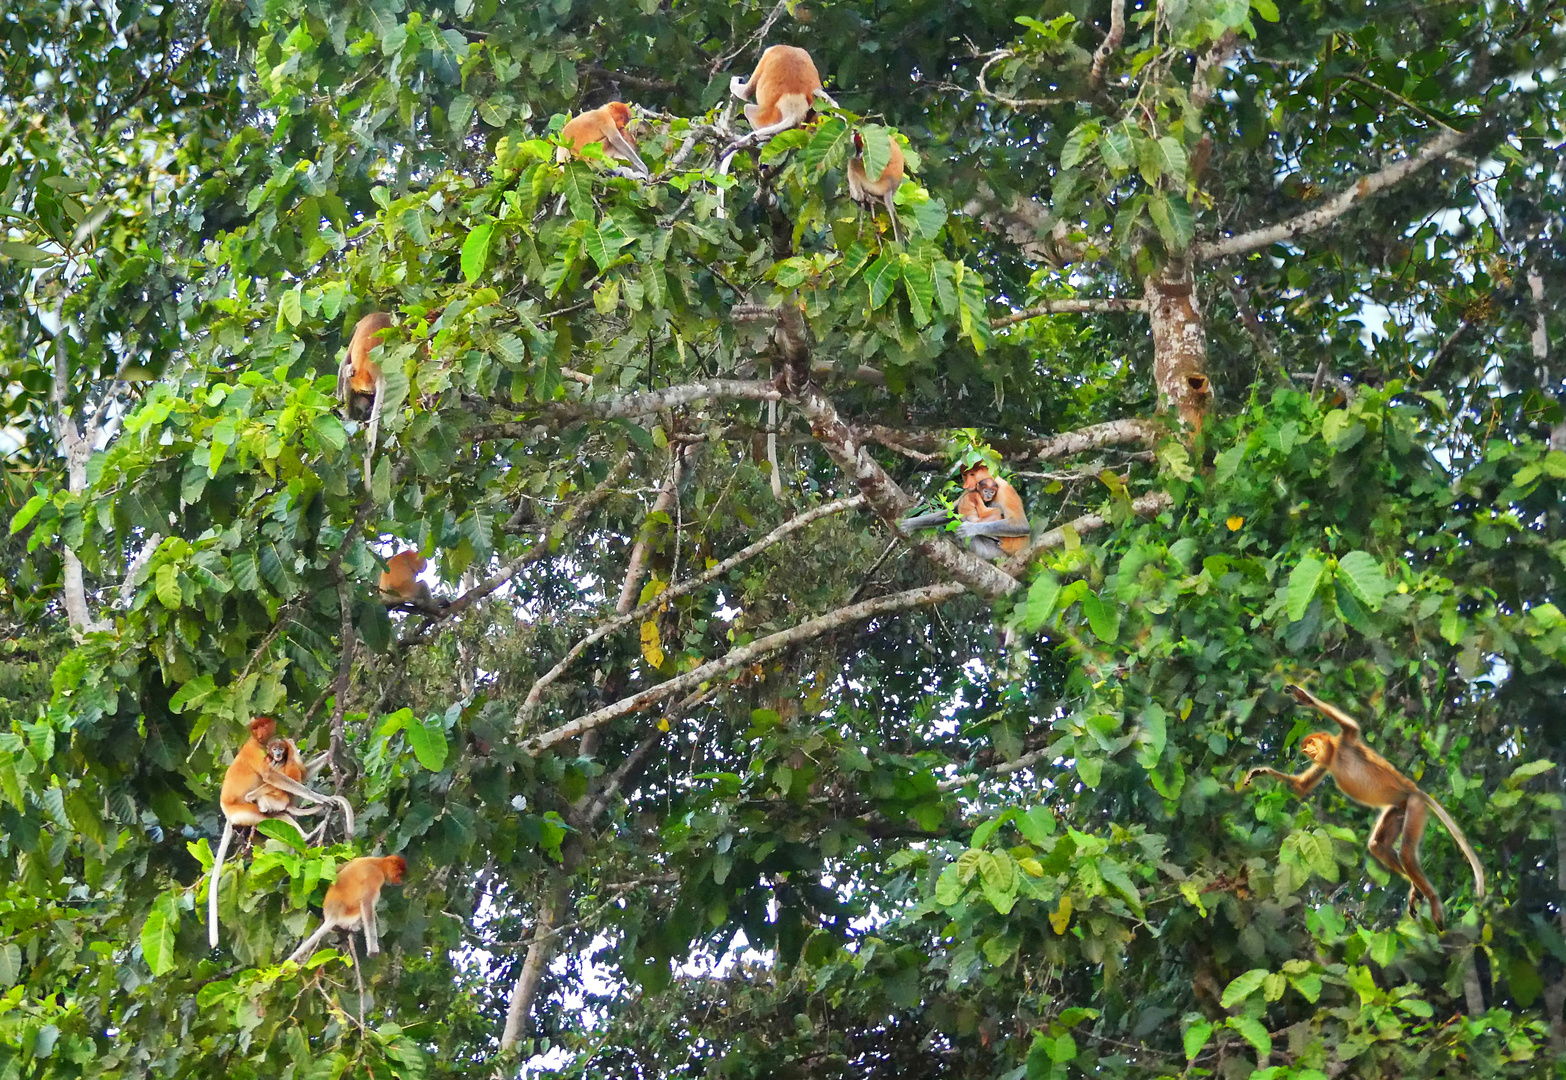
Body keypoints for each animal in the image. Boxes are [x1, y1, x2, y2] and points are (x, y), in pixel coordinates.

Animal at [206, 720, 353, 945]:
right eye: (258, 729)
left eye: (266, 727)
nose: (276, 749)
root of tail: (229, 814)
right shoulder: (257, 752)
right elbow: (271, 775)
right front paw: (321, 798)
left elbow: (299, 772)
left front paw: (334, 747)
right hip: (247, 812)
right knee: (272, 813)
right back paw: (308, 835)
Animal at [902, 463, 1033, 560]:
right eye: (965, 474)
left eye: (972, 474)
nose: (966, 483)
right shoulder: (971, 490)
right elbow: (951, 512)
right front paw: (909, 523)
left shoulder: (1005, 491)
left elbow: (1022, 525)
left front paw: (969, 528)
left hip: (995, 552)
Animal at [1240, 682, 1484, 926]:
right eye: (1306, 748)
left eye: (1310, 743)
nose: (1308, 751)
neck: (1335, 755)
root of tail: (1412, 791)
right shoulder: (1326, 762)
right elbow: (1301, 787)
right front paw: (1262, 772)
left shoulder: (1344, 742)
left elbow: (1351, 726)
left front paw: (1304, 698)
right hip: (1398, 810)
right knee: (1377, 845)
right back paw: (1415, 889)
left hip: (1414, 805)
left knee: (1406, 852)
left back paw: (1432, 899)